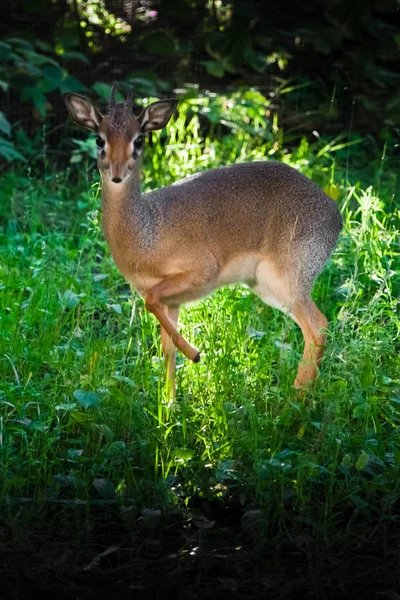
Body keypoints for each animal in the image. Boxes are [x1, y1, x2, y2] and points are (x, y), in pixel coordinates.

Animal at [64, 84, 342, 394]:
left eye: (138, 140)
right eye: (99, 139)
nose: (117, 173)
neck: (147, 233)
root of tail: (335, 214)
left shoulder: (200, 272)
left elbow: (151, 302)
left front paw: (195, 354)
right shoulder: (171, 301)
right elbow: (167, 347)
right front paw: (168, 402)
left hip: (289, 281)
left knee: (318, 325)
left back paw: (295, 398)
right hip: (267, 288)